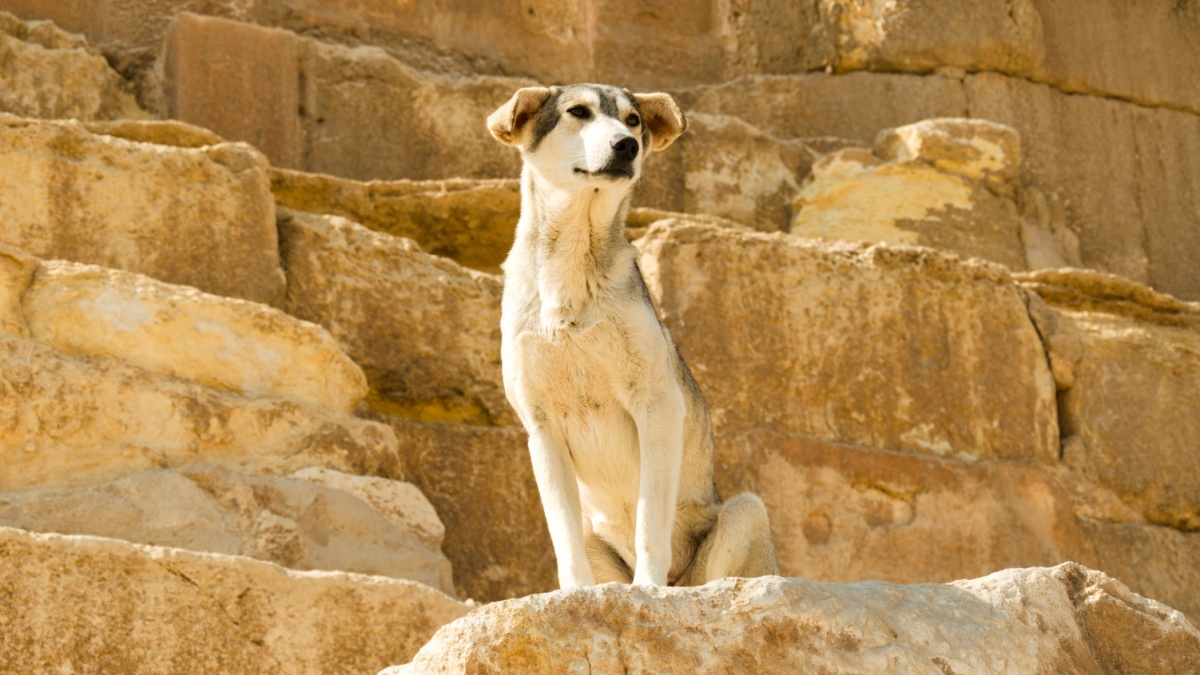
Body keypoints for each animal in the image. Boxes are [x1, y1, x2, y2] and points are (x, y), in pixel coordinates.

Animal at [487, 81, 777, 583]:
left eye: (633, 120)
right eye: (578, 112)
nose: (627, 146)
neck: (571, 271)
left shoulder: (657, 406)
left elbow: (649, 526)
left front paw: (646, 589)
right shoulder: (541, 427)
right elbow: (565, 542)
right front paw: (576, 595)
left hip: (745, 512)